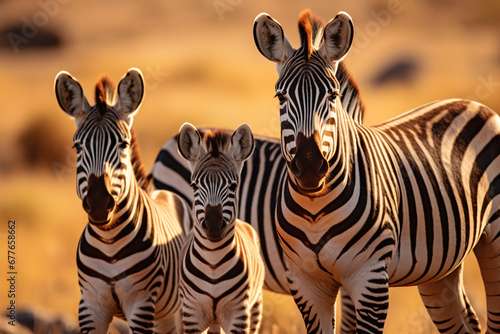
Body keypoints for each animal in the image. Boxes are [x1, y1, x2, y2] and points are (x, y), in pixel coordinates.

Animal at [53, 68, 188, 334]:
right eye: (77, 147)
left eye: (123, 144)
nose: (98, 204)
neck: (109, 243)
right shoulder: (90, 306)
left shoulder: (141, 303)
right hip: (164, 314)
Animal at [178, 123, 268, 334]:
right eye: (194, 186)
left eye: (233, 186)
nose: (213, 225)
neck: (213, 261)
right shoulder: (191, 314)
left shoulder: (238, 314)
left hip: (255, 307)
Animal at [254, 8, 500, 334]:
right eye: (281, 98)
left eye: (332, 96)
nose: (309, 168)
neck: (315, 210)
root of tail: (474, 104)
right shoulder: (306, 284)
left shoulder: (370, 279)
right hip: (440, 266)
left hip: (495, 238)